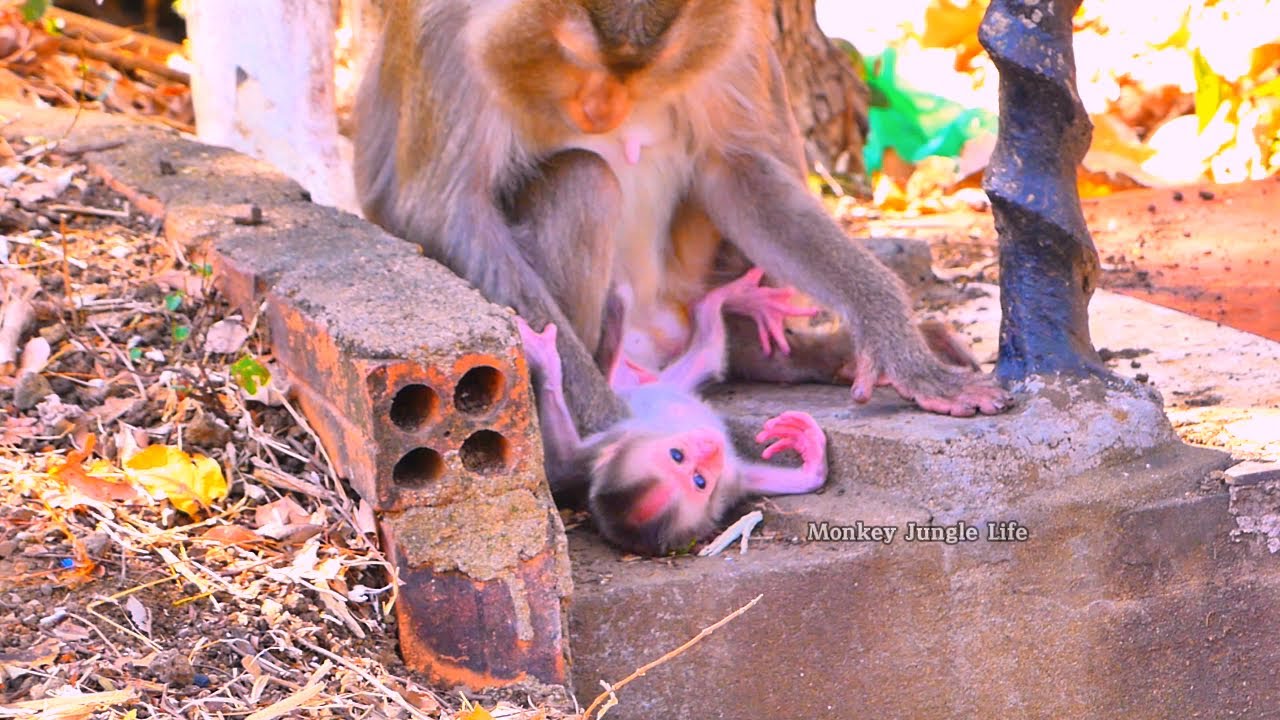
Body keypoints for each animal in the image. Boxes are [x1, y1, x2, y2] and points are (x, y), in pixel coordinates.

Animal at [353, 0, 1012, 439]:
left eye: (654, 65)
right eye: (572, 54)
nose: (603, 110)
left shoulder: (732, 24)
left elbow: (736, 171)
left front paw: (900, 349)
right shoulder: (446, 31)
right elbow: (446, 213)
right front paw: (603, 423)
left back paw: (779, 353)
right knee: (584, 182)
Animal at [516, 269, 827, 555]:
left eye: (678, 456)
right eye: (698, 480)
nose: (710, 448)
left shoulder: (621, 438)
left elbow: (564, 464)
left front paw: (810, 450)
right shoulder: (724, 483)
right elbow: (562, 464)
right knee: (707, 354)